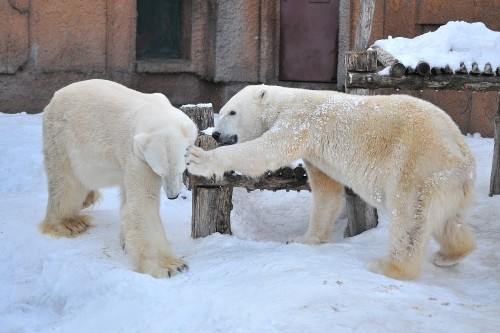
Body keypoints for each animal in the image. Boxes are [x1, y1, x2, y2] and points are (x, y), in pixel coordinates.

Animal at [40, 78, 197, 278]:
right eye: (160, 172)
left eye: (180, 169)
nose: (173, 196)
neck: (154, 109)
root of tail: (54, 97)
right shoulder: (136, 153)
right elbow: (144, 201)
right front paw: (171, 266)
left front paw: (126, 242)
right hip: (63, 137)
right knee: (65, 182)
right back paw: (69, 223)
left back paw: (87, 199)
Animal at [188, 84, 476, 278]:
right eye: (225, 111)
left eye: (232, 112)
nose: (215, 133)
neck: (284, 101)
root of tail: (462, 152)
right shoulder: (314, 151)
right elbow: (326, 192)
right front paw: (304, 239)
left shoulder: (298, 123)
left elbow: (264, 152)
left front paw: (198, 158)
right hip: (445, 181)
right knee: (444, 220)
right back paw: (450, 255)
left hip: (417, 164)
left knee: (408, 217)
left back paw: (388, 266)